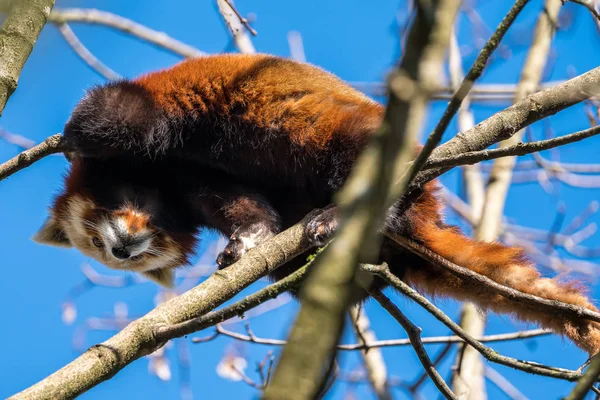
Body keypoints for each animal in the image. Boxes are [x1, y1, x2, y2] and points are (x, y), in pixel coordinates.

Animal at [32, 53, 600, 354]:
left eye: (100, 228)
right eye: (100, 249)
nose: (122, 251)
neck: (161, 182)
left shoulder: (161, 119)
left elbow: (111, 116)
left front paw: (70, 139)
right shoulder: (193, 184)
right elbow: (241, 205)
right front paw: (248, 241)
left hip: (359, 140)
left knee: (357, 154)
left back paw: (341, 215)